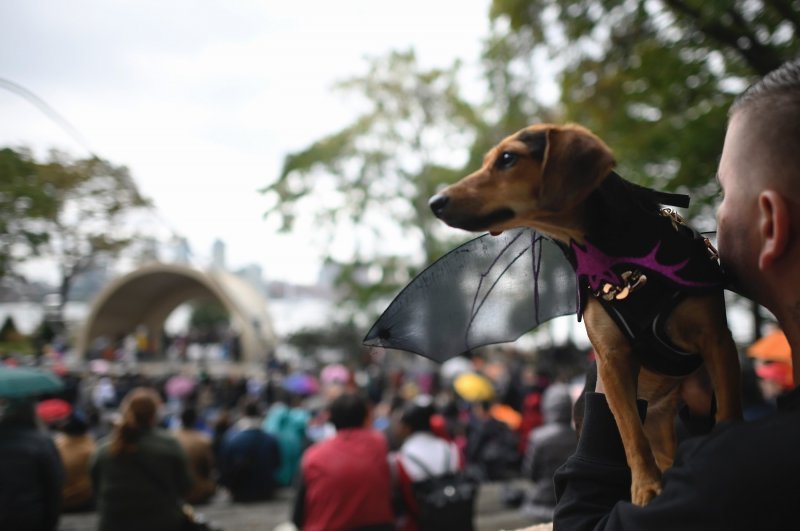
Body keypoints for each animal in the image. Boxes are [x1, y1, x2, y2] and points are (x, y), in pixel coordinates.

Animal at [432, 122, 744, 504]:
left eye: (507, 158)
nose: (435, 202)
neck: (617, 257)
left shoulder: (717, 340)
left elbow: (728, 411)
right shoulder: (612, 361)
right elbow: (630, 434)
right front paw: (646, 489)